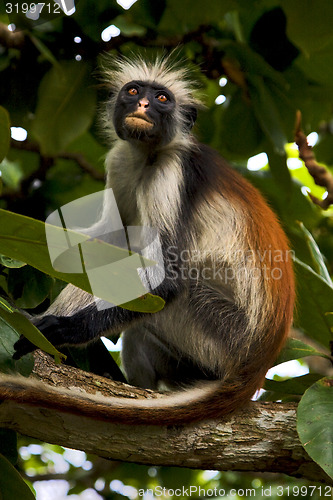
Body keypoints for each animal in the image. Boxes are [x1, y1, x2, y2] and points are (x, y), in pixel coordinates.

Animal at [3, 53, 294, 422]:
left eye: (162, 98)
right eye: (133, 91)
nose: (142, 104)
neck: (147, 156)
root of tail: (252, 370)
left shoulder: (168, 173)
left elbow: (168, 280)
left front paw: (69, 330)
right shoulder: (121, 160)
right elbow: (109, 239)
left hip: (218, 332)